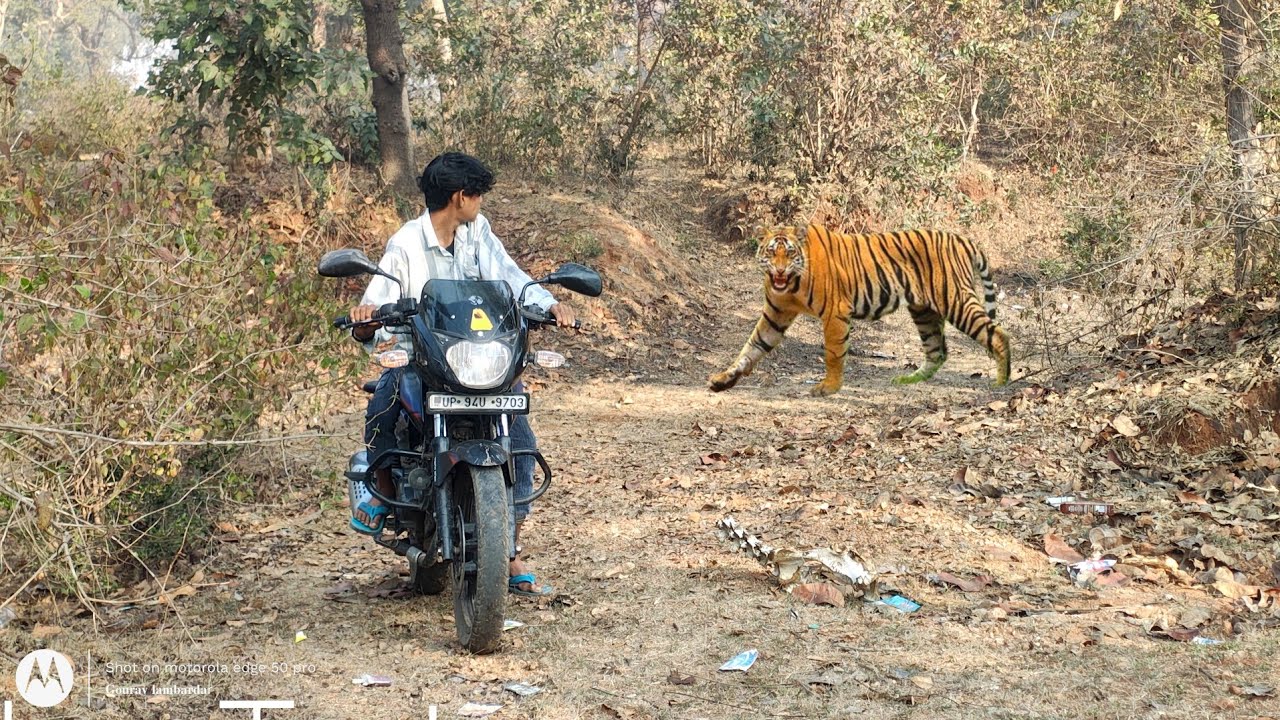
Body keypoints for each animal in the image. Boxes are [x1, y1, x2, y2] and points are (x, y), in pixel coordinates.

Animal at [708, 224, 1011, 396]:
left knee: (998, 333)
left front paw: (828, 388)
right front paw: (723, 380)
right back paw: (907, 379)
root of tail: (963, 240)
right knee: (937, 351)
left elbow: (833, 353)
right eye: (771, 253)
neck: (790, 285)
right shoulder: (775, 315)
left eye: (790, 253)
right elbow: (750, 349)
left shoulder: (835, 312)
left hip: (956, 299)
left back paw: (1002, 381)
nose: (780, 271)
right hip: (923, 310)